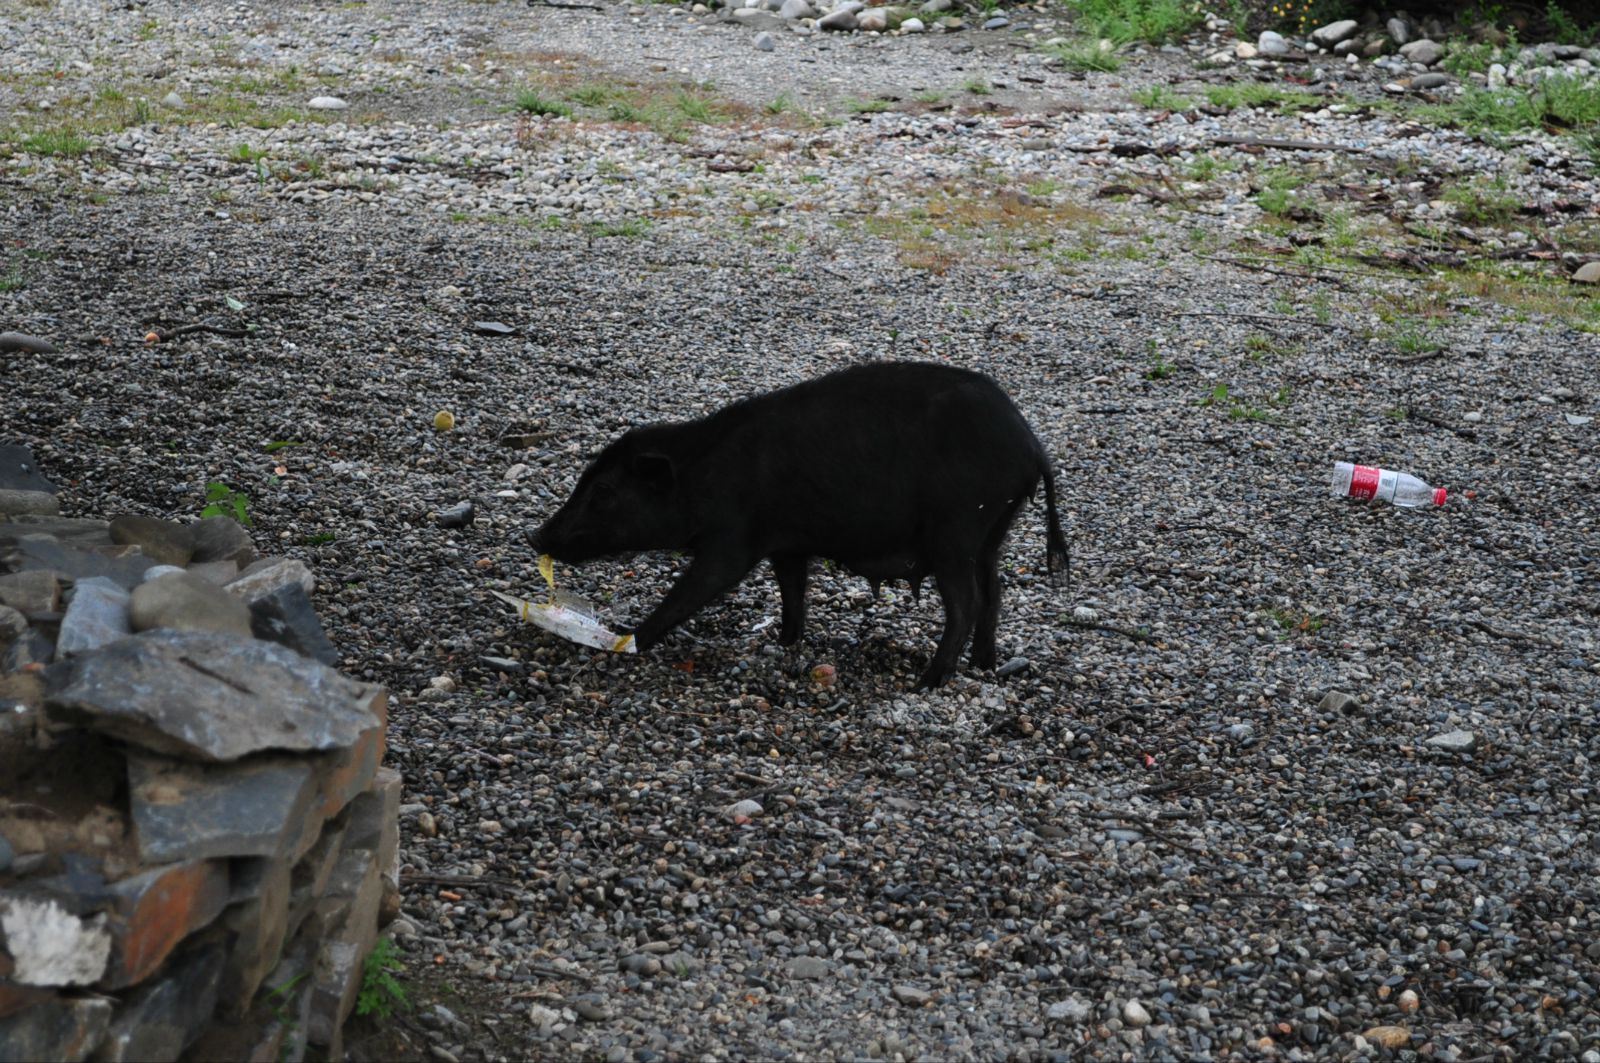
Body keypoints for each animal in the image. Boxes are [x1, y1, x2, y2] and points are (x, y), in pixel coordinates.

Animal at [531, 358, 1068, 688]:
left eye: (603, 491)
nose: (535, 535)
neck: (703, 476)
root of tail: (1032, 447)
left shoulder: (733, 539)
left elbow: (694, 589)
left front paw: (627, 640)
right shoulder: (787, 543)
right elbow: (792, 592)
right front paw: (784, 642)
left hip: (955, 529)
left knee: (967, 602)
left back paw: (929, 681)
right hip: (993, 529)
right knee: (995, 590)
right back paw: (984, 665)